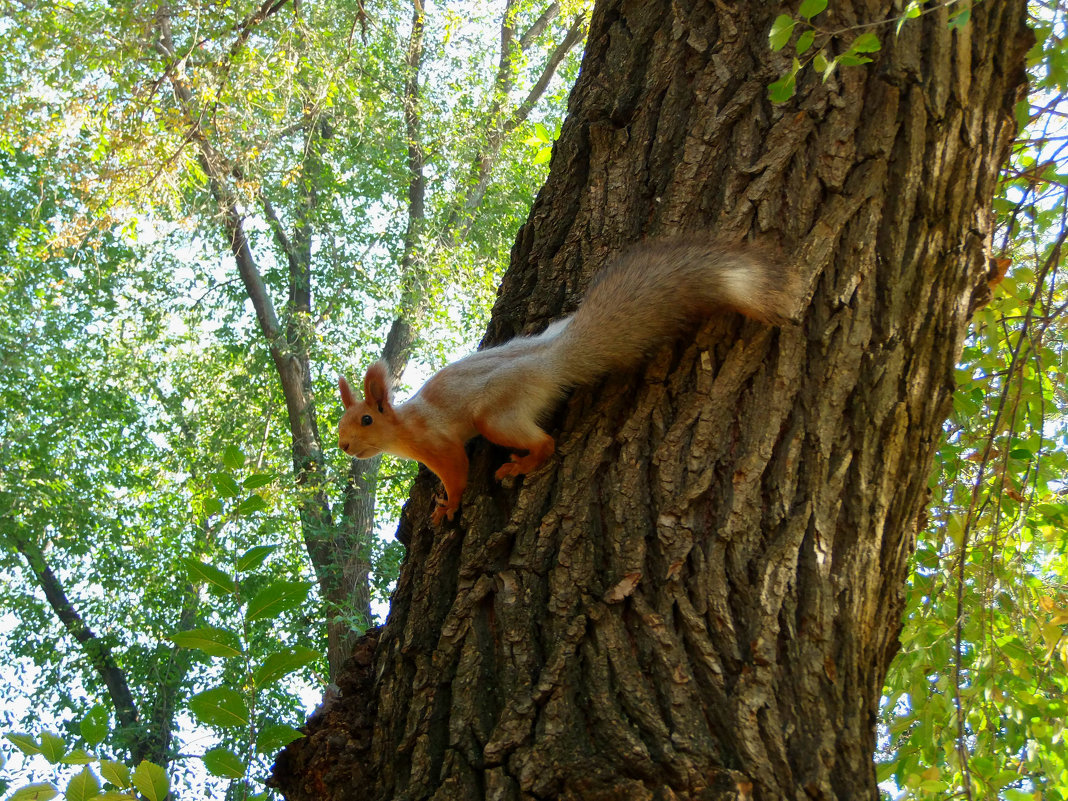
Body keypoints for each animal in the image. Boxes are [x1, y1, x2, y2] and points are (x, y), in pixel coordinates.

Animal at [337, 234, 798, 527]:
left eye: (366, 420)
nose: (343, 446)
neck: (404, 428)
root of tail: (550, 361)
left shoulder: (440, 444)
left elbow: (457, 473)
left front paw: (447, 507)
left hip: (497, 413)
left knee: (545, 443)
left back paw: (522, 464)